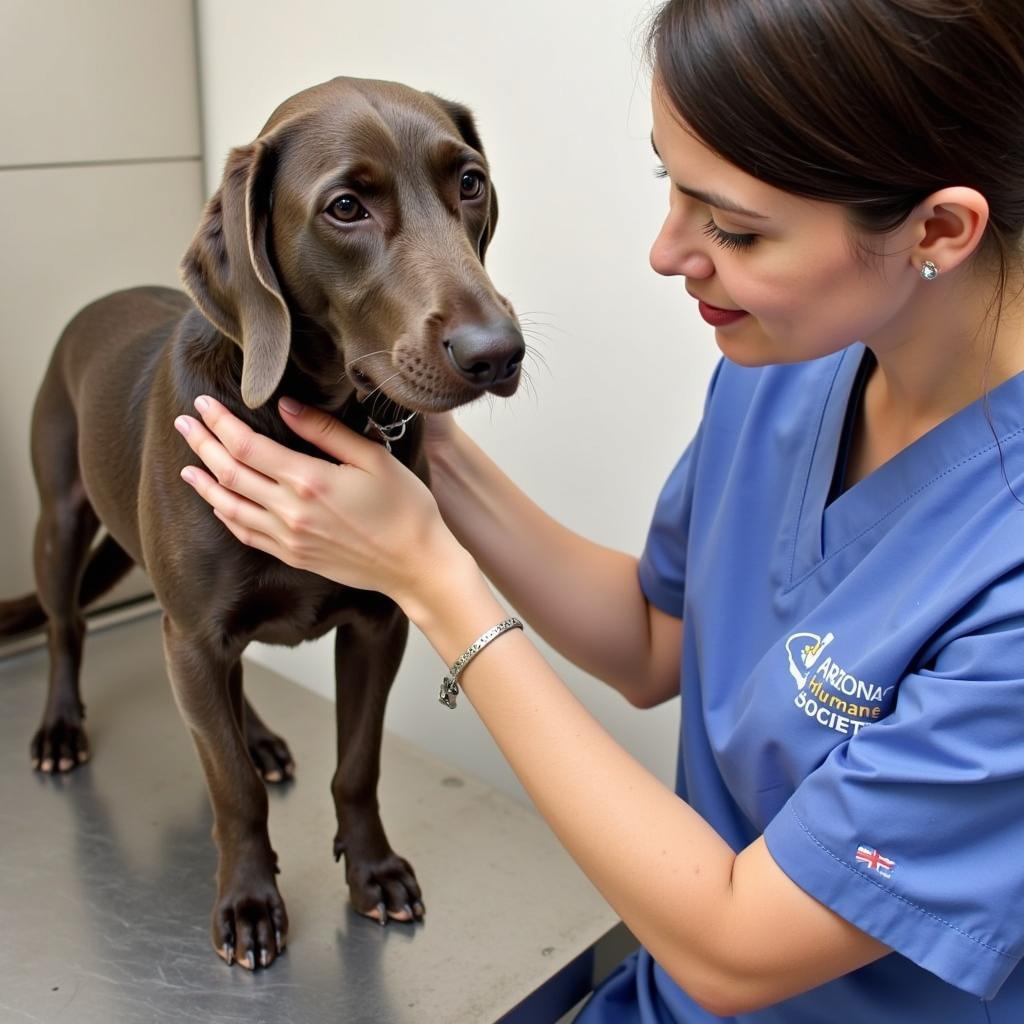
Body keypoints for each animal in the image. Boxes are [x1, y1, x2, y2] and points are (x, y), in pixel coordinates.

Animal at [2, 77, 520, 966]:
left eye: (469, 183)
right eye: (345, 207)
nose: (498, 351)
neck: (307, 416)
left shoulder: (377, 627)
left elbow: (357, 766)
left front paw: (373, 870)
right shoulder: (193, 634)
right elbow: (232, 790)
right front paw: (248, 901)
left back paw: (259, 734)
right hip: (61, 525)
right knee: (68, 629)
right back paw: (61, 729)